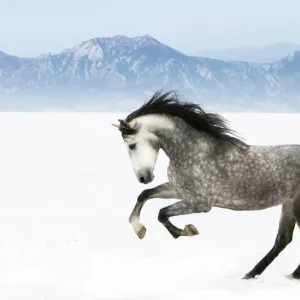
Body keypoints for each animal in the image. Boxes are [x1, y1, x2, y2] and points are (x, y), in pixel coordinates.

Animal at [112, 90, 300, 280]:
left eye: (132, 145)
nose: (143, 177)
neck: (194, 151)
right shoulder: (179, 190)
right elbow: (145, 195)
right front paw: (139, 229)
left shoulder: (200, 203)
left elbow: (162, 213)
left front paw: (186, 231)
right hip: (288, 204)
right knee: (283, 239)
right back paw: (257, 274)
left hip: (296, 206)